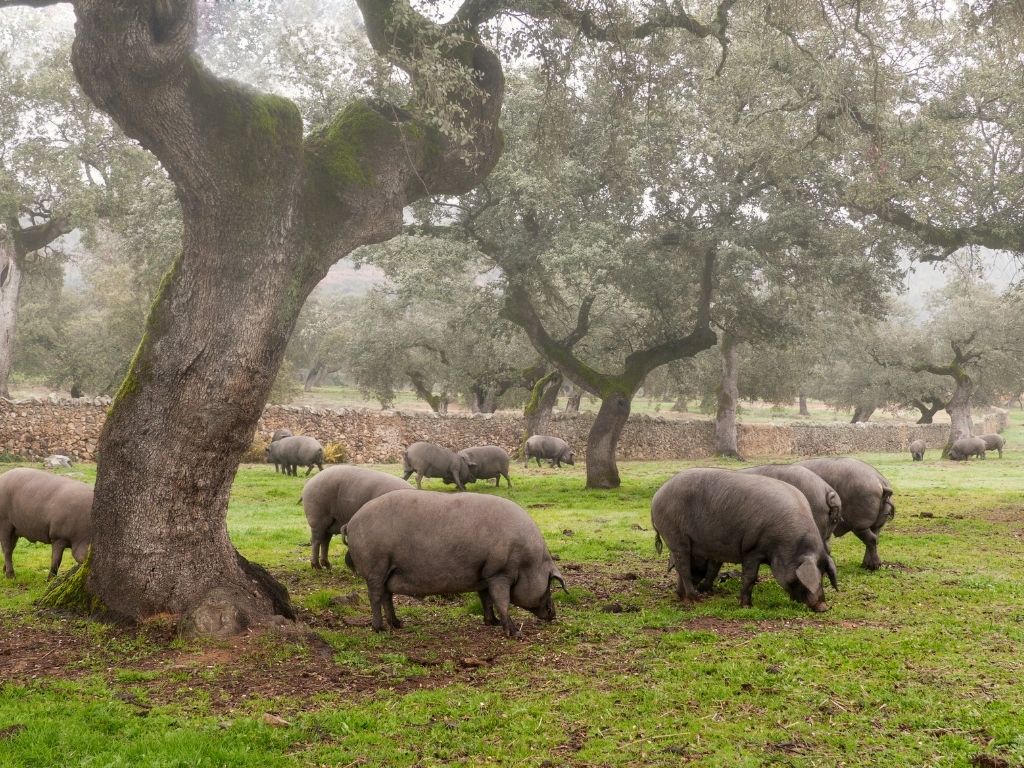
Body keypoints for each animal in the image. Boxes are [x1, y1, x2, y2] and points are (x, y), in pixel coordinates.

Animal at [343, 490, 567, 637]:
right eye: (549, 583)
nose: (553, 614)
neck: (528, 561)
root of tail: (351, 522)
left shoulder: (483, 576)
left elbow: (486, 599)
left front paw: (492, 623)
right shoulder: (499, 573)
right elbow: (502, 601)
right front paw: (515, 634)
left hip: (388, 571)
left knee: (387, 596)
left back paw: (398, 624)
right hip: (376, 567)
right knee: (375, 596)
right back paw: (380, 629)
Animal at [650, 469, 837, 612]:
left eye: (823, 575)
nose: (823, 607)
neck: (784, 544)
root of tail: (656, 496)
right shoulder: (752, 549)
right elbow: (749, 577)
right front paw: (747, 606)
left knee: (682, 567)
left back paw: (682, 597)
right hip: (675, 537)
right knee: (683, 568)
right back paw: (694, 600)